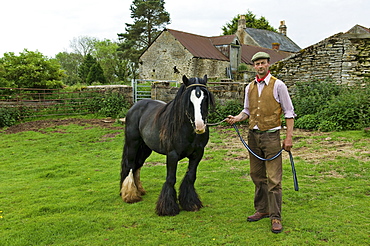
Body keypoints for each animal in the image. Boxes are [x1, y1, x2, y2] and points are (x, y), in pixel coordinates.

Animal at [120, 74, 215, 215]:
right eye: (189, 100)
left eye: (205, 98)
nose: (199, 126)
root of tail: (135, 107)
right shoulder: (172, 155)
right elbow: (171, 179)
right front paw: (168, 208)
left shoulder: (197, 154)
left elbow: (190, 177)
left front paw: (190, 203)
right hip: (133, 144)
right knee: (130, 165)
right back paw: (129, 195)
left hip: (145, 148)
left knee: (137, 165)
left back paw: (139, 191)